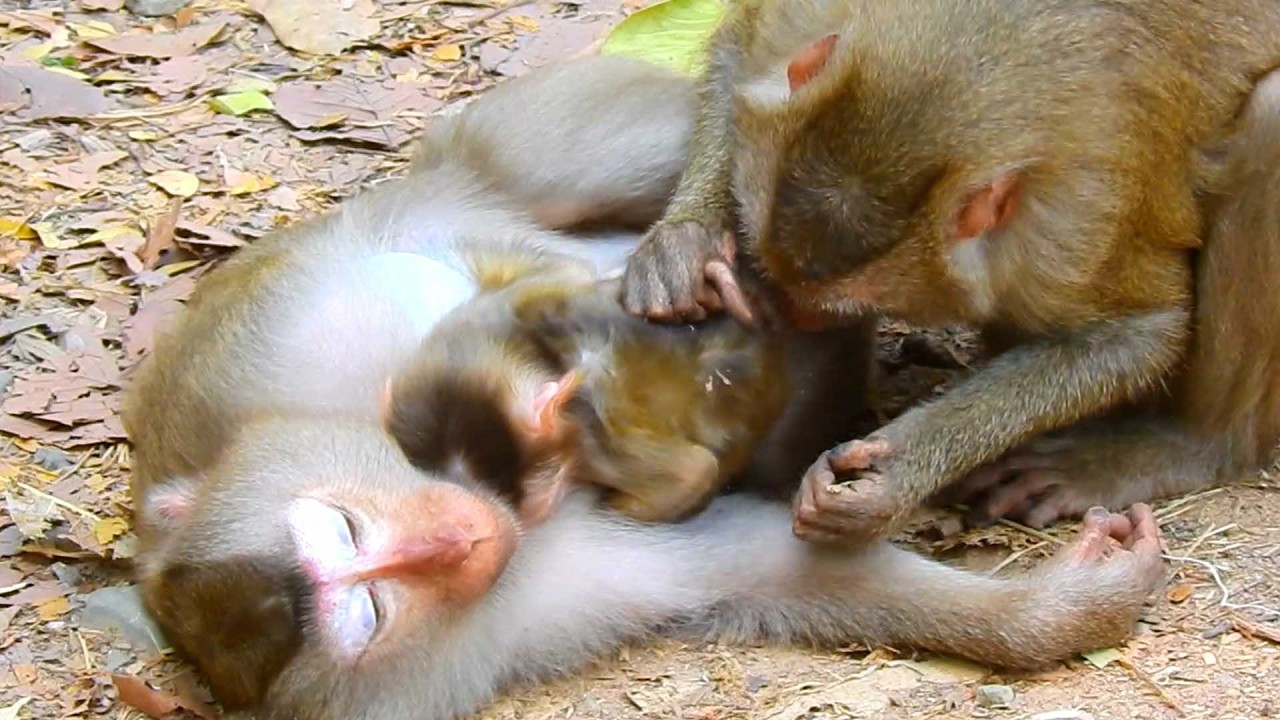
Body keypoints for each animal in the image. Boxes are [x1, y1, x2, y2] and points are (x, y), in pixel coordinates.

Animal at [124, 55, 1167, 720]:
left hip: (519, 140)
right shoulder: (516, 610)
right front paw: (1065, 610)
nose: (458, 539)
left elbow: (511, 293)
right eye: (374, 608)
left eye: (347, 529)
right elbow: (766, 565)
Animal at [619, 0, 1280, 540]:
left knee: (1269, 116)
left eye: (824, 308)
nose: (786, 315)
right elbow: (740, 46)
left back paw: (1195, 445)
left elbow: (1139, 331)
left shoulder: (1075, 223)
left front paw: (898, 470)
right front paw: (685, 245)